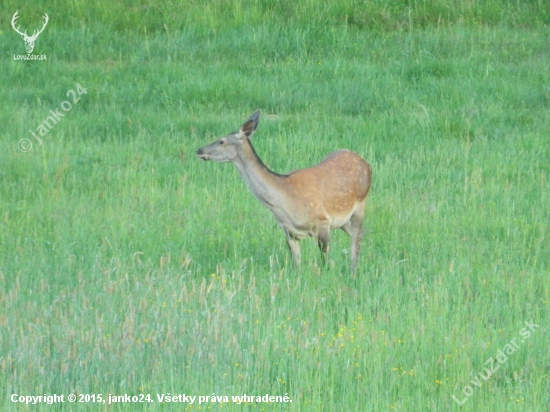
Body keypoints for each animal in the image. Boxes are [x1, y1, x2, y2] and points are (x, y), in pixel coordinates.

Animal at [196, 112, 374, 274]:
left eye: (221, 141)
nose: (199, 150)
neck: (283, 203)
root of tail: (365, 163)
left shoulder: (322, 222)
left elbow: (324, 261)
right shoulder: (288, 231)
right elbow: (296, 264)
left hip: (361, 202)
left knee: (357, 235)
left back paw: (354, 271)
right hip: (342, 219)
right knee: (359, 233)